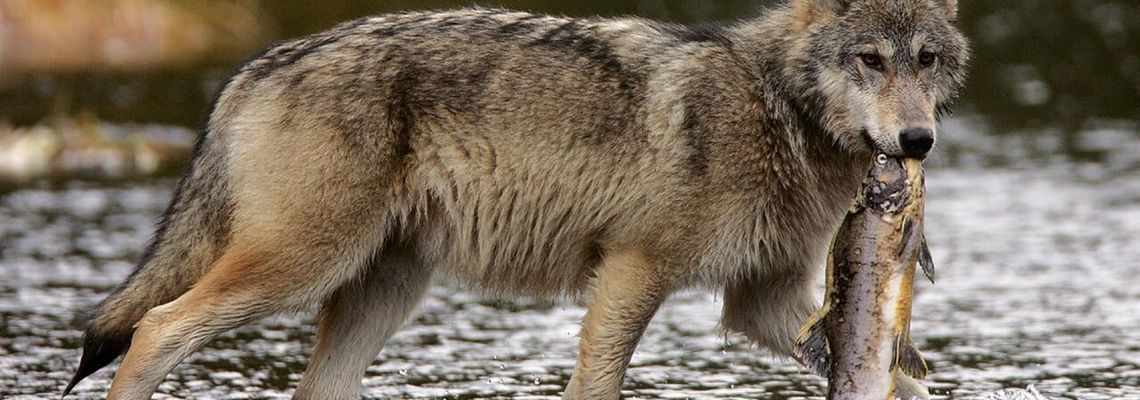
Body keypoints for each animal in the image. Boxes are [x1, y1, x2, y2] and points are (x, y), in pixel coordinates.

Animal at [66, 0, 966, 398]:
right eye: (871, 59)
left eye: (926, 59)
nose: (917, 141)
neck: (777, 108)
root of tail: (252, 70)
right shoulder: (633, 270)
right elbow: (598, 384)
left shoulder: (762, 303)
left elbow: (906, 382)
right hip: (299, 268)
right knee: (156, 326)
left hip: (382, 290)